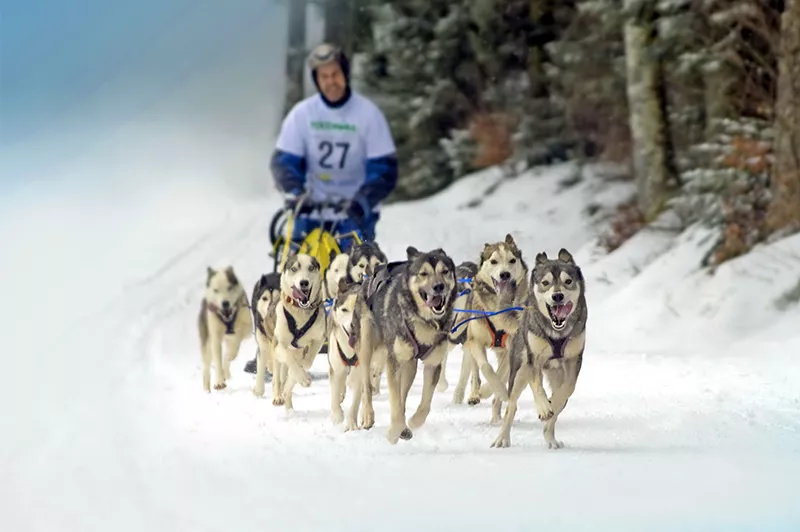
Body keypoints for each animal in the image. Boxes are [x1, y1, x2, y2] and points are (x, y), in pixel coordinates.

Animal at [274, 254, 326, 412]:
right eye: (294, 269)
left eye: (311, 268)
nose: (304, 282)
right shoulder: (279, 345)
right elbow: (289, 358)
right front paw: (303, 377)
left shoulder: (319, 338)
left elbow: (306, 362)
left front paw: (301, 372)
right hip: (274, 354)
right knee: (277, 378)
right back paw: (278, 396)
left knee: (287, 384)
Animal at [356, 246, 456, 444]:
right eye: (424, 273)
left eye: (445, 271)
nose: (439, 286)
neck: (424, 321)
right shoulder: (394, 361)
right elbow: (394, 402)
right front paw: (393, 432)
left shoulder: (433, 363)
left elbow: (424, 405)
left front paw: (412, 422)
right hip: (367, 346)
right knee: (366, 385)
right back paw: (367, 415)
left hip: (410, 364)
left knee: (403, 393)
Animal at [460, 235, 528, 422]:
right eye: (494, 261)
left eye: (512, 260)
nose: (505, 274)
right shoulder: (475, 341)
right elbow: (486, 368)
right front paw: (481, 391)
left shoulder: (511, 349)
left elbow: (499, 376)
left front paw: (493, 392)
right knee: (475, 372)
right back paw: (475, 394)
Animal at [488, 249, 588, 448]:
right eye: (545, 283)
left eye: (568, 281)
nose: (557, 296)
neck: (556, 333)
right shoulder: (534, 359)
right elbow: (537, 387)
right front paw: (543, 407)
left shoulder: (574, 361)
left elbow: (566, 390)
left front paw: (552, 404)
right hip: (518, 373)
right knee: (511, 406)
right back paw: (502, 438)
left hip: (555, 374)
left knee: (555, 413)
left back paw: (551, 438)